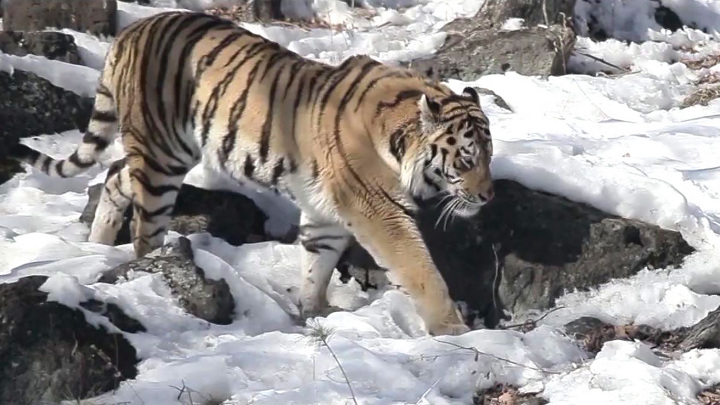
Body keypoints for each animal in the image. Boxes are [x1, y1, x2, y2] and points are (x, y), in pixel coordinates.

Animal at [9, 11, 496, 334]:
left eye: (490, 156)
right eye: (467, 158)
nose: (489, 197)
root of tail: (130, 30)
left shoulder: (327, 211)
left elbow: (317, 264)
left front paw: (312, 313)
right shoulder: (380, 212)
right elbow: (421, 270)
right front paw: (453, 332)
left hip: (165, 153)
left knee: (113, 175)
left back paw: (96, 245)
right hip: (160, 159)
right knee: (145, 228)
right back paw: (145, 267)